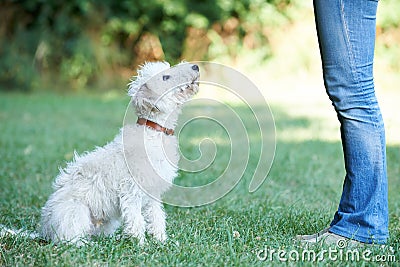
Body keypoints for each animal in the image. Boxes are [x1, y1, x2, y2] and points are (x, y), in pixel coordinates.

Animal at [35, 61, 198, 246]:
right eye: (165, 77)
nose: (196, 67)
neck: (152, 131)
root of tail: (44, 231)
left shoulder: (153, 193)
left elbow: (156, 216)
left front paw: (161, 240)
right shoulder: (131, 191)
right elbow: (136, 219)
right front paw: (141, 244)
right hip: (76, 212)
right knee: (69, 239)